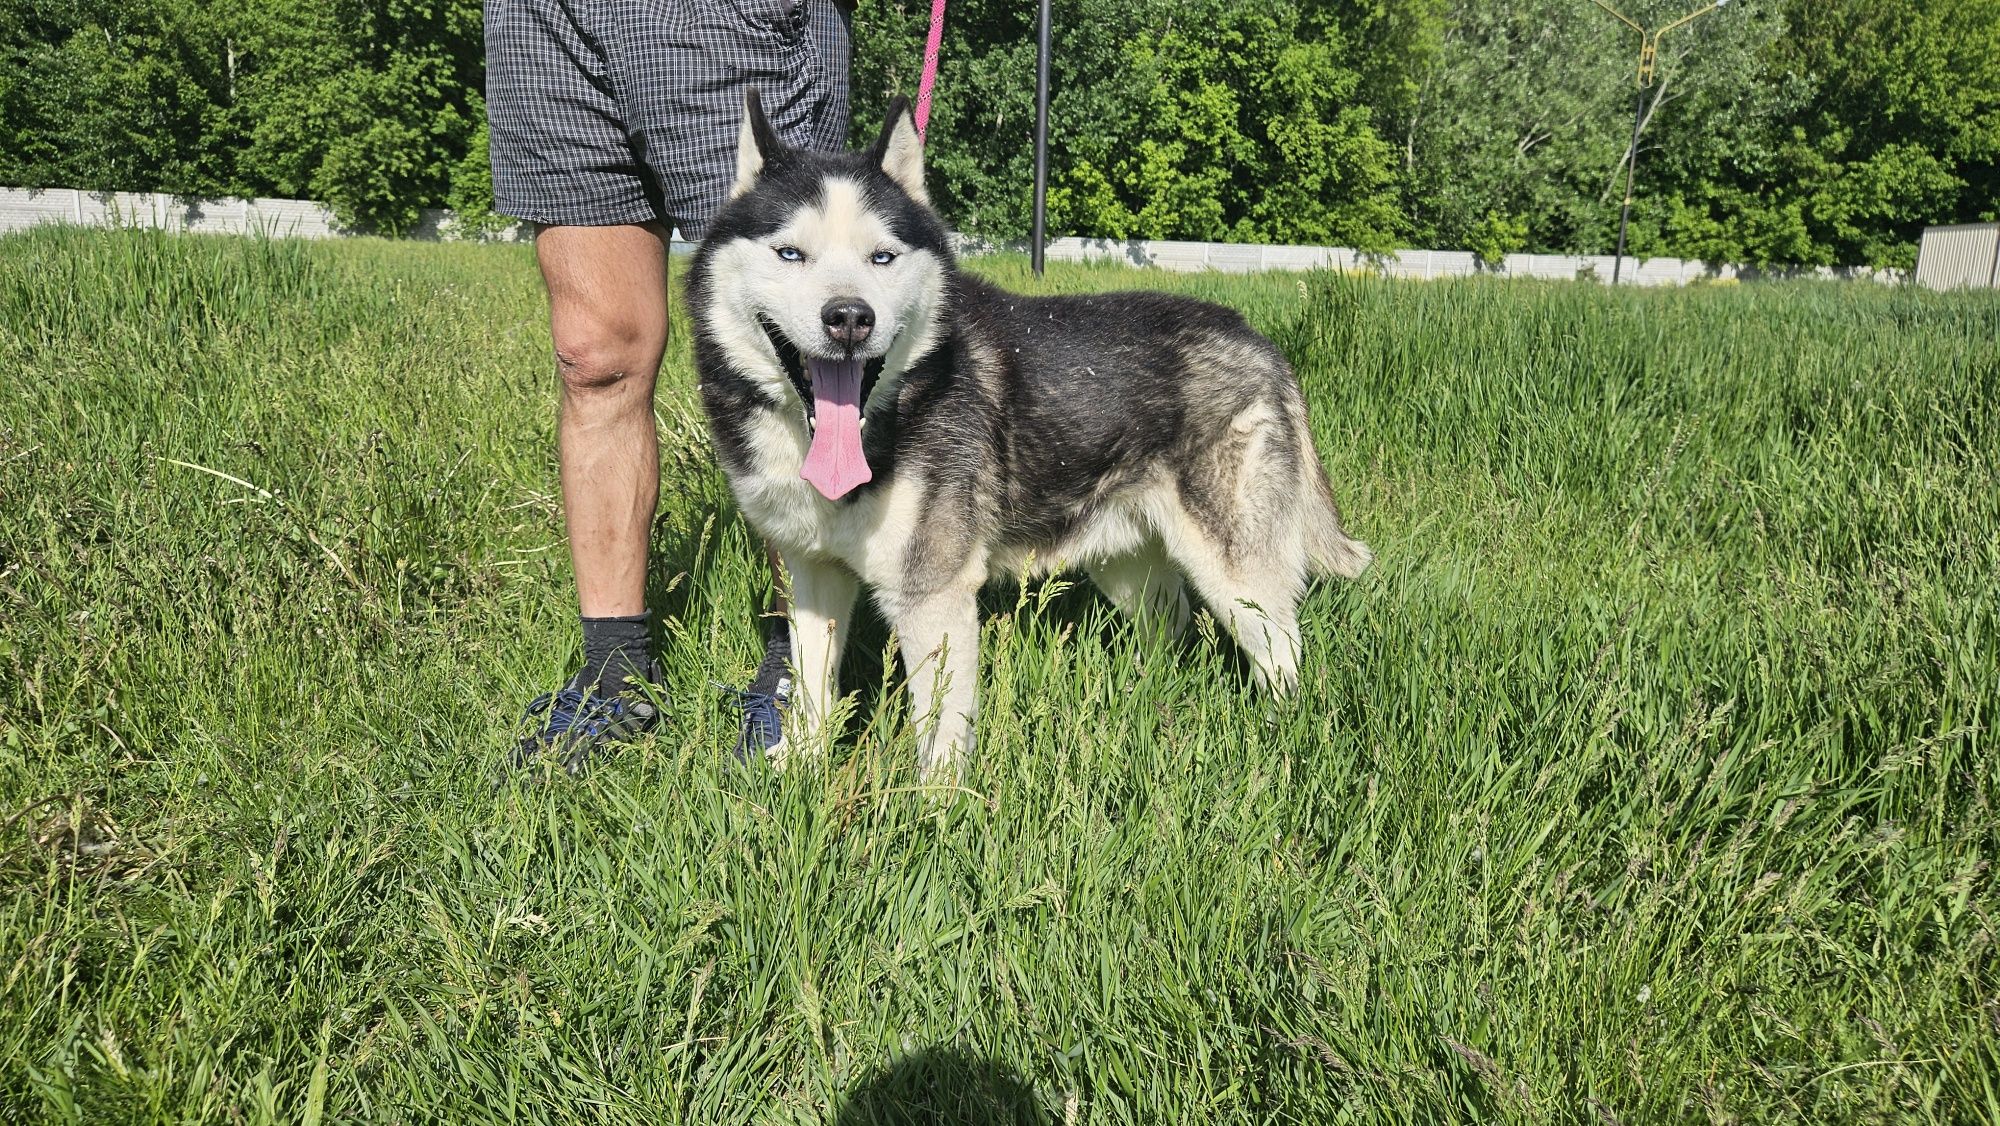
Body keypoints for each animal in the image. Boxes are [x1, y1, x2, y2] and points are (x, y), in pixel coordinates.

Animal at [692, 92, 1376, 780]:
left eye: (881, 257)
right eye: (790, 254)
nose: (850, 318)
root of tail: (1260, 341)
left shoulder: (932, 593)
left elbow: (939, 732)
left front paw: (933, 805)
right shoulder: (812, 574)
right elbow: (811, 686)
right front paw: (797, 768)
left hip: (1235, 576)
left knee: (1283, 651)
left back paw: (1282, 736)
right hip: (1127, 565)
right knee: (1171, 625)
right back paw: (1146, 701)